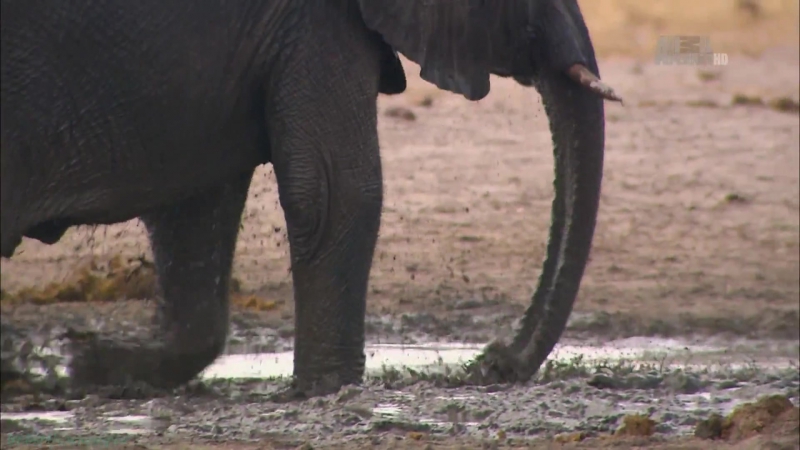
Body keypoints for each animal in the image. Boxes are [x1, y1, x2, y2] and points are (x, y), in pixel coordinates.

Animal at [1, 0, 620, 394]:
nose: (491, 362)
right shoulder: (313, 20)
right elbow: (339, 188)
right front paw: (329, 388)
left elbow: (196, 209)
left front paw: (87, 365)